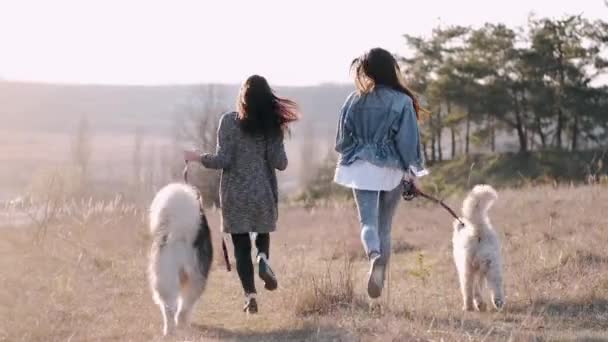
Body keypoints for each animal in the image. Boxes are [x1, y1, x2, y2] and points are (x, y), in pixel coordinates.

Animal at [148, 183, 213, 336]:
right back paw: (183, 324)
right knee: (185, 307)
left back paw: (170, 331)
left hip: (166, 277)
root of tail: (179, 236)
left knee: (169, 309)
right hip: (196, 279)